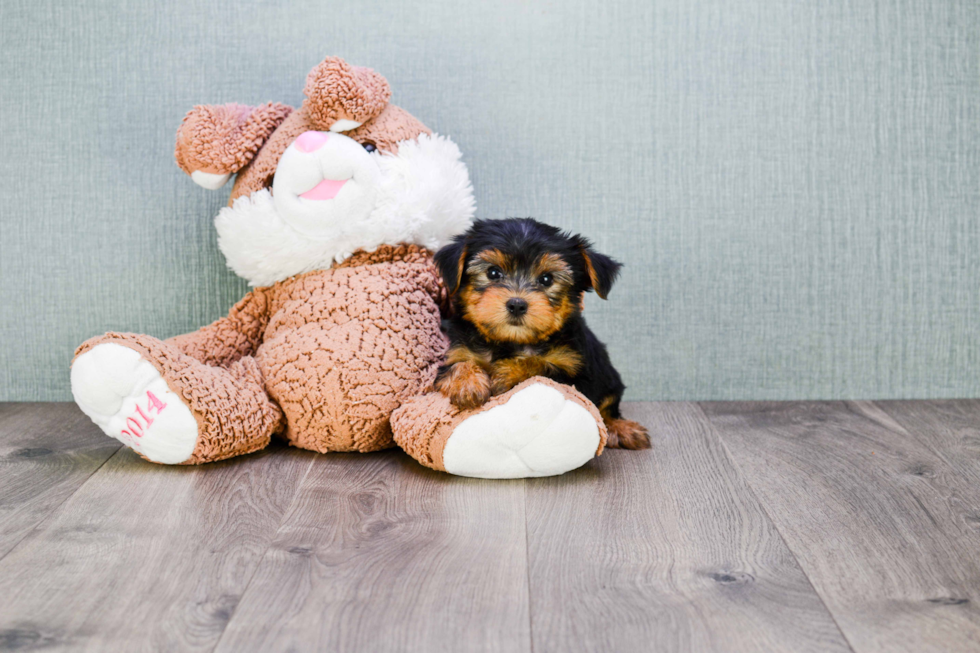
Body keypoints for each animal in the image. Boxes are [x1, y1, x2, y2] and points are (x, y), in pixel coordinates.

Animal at [434, 219, 652, 448]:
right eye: (493, 273)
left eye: (547, 279)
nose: (517, 304)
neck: (511, 341)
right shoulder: (458, 351)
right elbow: (457, 365)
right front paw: (468, 385)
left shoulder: (578, 374)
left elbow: (540, 366)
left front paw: (506, 372)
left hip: (609, 377)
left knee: (608, 408)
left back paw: (624, 428)